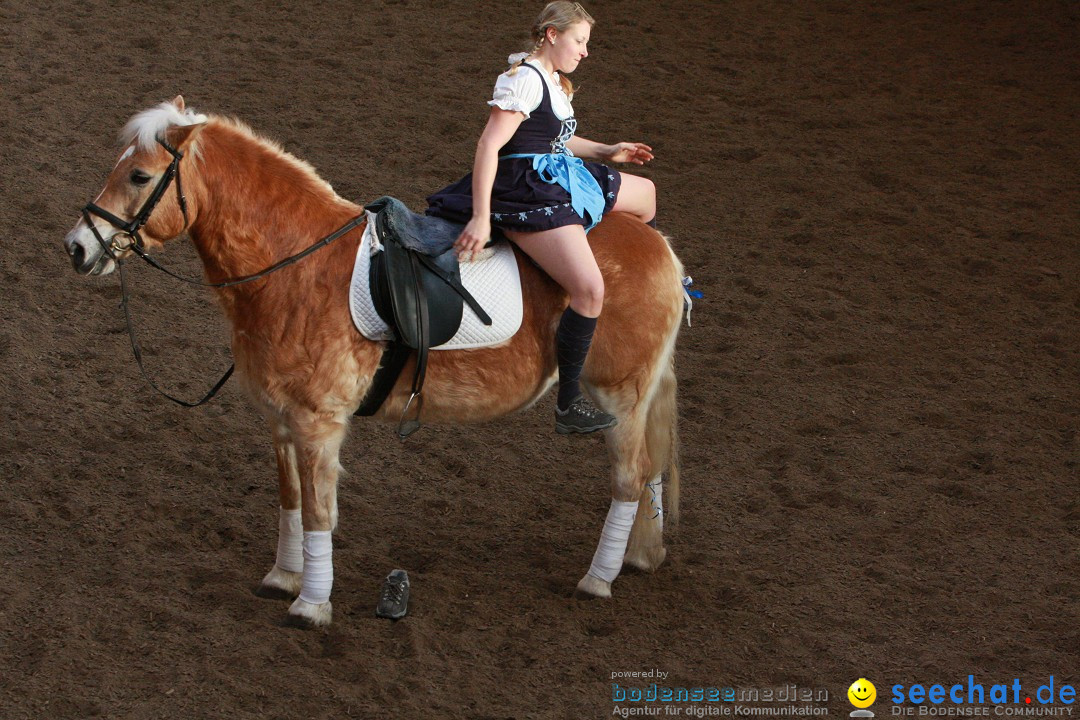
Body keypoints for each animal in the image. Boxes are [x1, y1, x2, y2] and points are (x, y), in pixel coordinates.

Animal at [63, 95, 682, 626]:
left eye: (139, 176)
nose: (77, 247)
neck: (294, 265)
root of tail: (660, 247)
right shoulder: (280, 421)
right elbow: (291, 500)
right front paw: (284, 578)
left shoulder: (317, 423)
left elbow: (319, 513)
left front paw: (311, 605)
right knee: (649, 468)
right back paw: (637, 556)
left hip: (618, 396)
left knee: (629, 477)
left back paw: (598, 579)